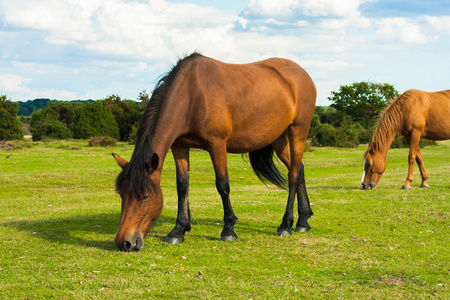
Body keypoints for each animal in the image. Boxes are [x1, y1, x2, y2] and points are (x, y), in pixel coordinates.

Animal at [112, 52, 316, 252]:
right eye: (121, 194)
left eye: (145, 196)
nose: (125, 242)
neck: (192, 95)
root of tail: (303, 74)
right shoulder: (179, 146)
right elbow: (182, 186)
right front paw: (179, 229)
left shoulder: (217, 144)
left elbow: (222, 185)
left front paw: (228, 230)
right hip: (278, 139)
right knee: (298, 169)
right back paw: (303, 220)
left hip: (297, 132)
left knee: (293, 176)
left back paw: (285, 225)